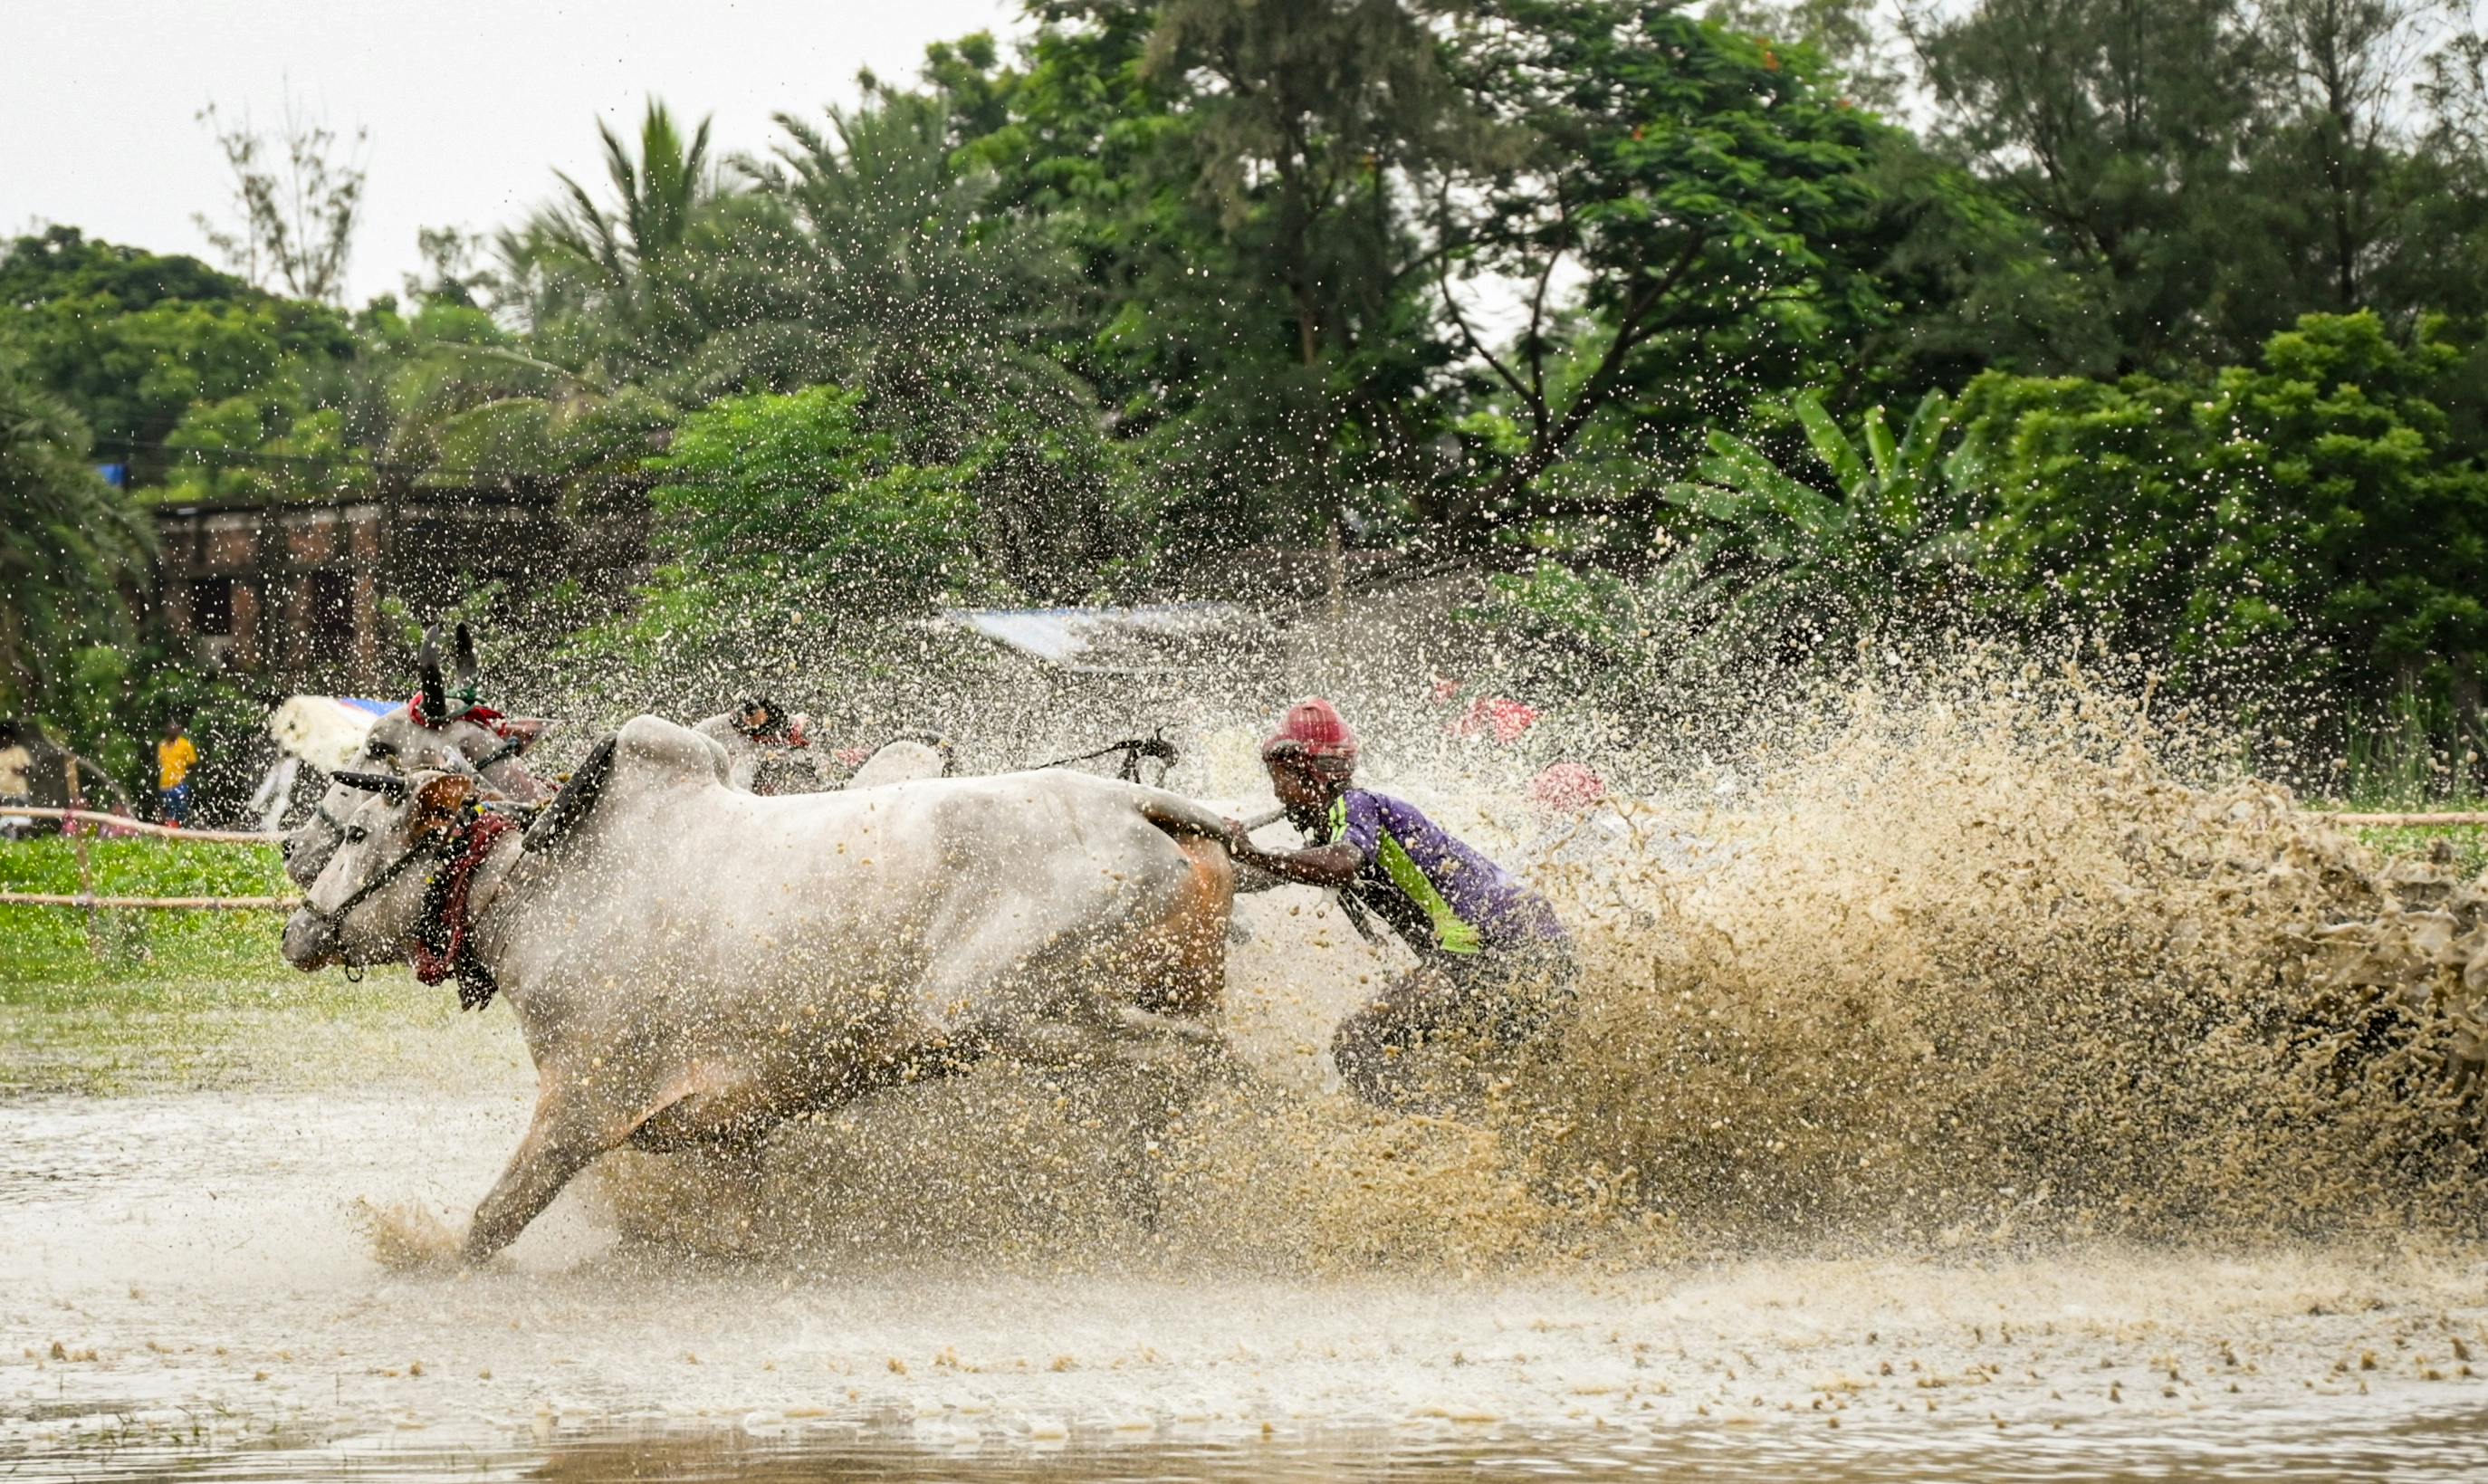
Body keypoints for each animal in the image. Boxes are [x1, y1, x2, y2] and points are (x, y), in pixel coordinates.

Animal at [280, 714, 1237, 1263]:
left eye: (359, 830)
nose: (297, 925)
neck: (538, 892)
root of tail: (1141, 806)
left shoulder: (582, 1107)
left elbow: (489, 1225)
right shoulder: (731, 1127)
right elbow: (740, 1230)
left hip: (1017, 1014)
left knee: (1203, 1062)